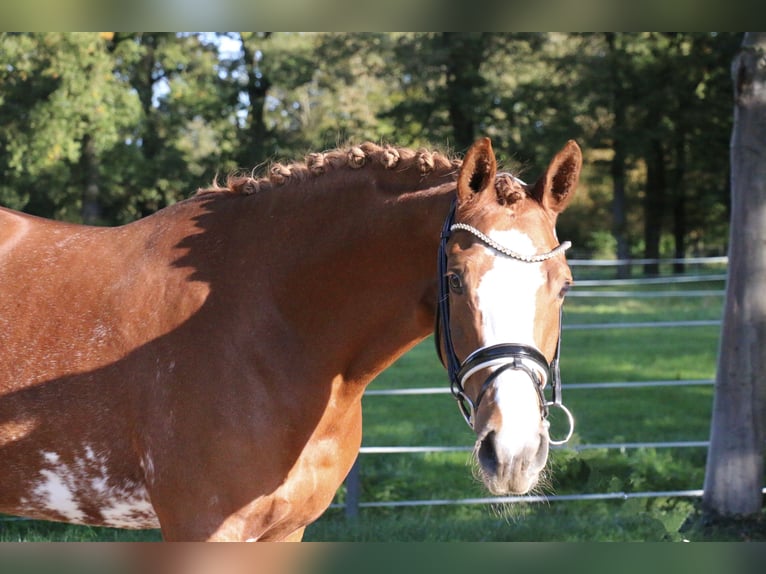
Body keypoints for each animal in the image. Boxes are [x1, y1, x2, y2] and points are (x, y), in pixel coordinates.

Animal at [1, 137, 584, 544]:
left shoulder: (284, 530)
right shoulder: (204, 528)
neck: (272, 326)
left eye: (564, 285)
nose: (513, 451)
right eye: (456, 280)